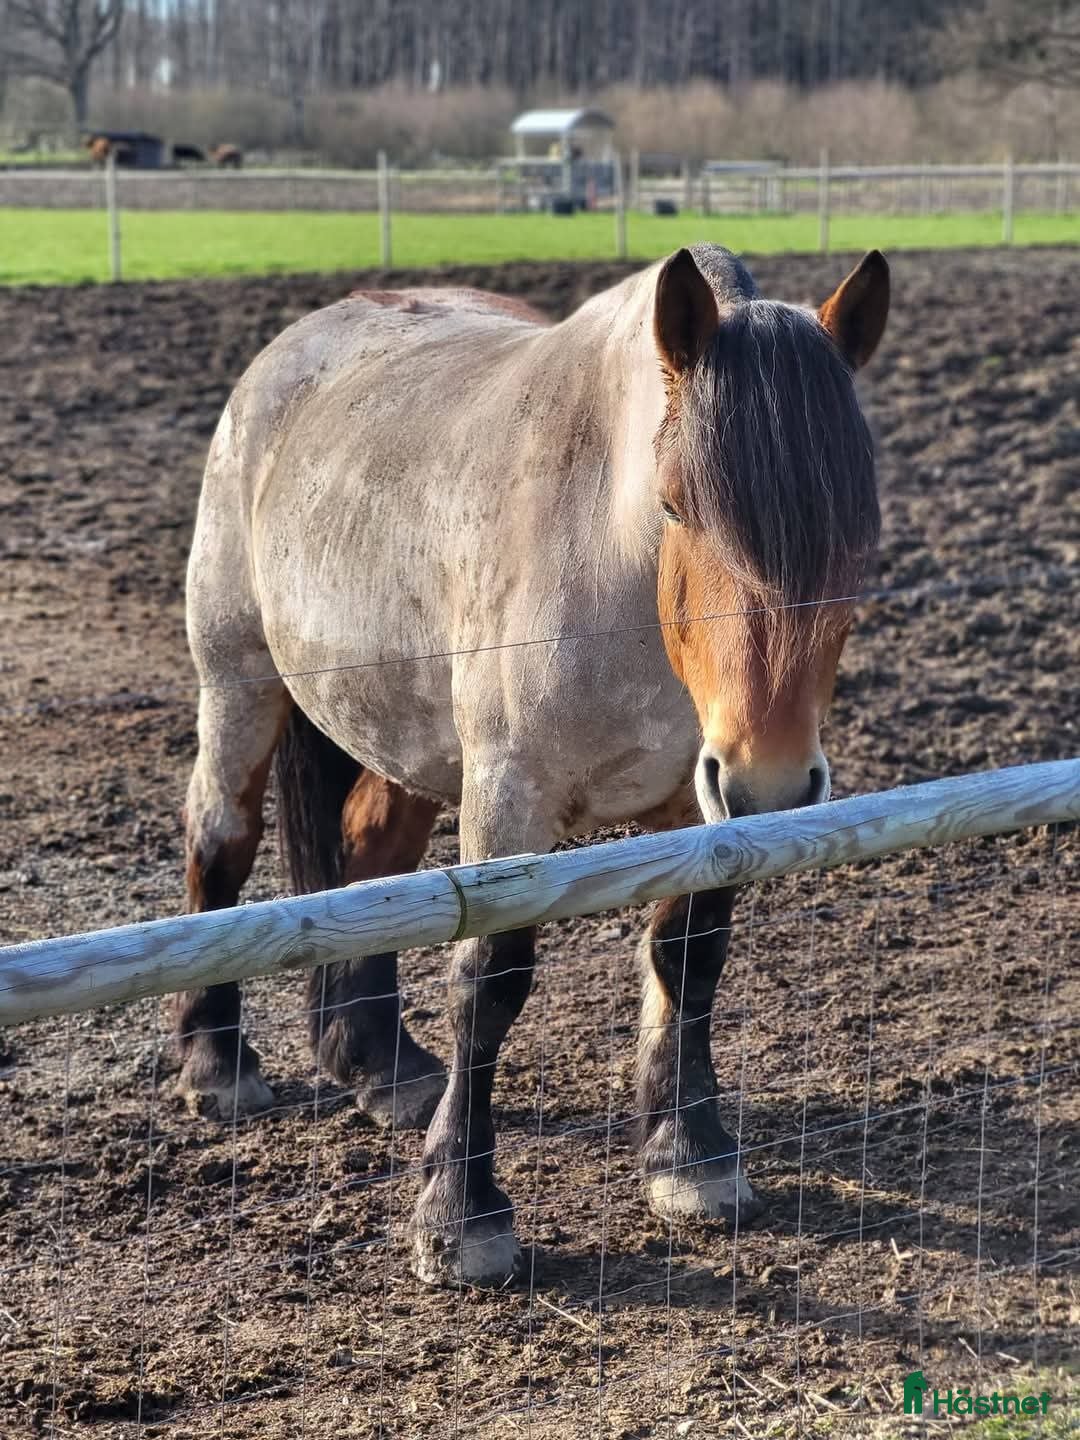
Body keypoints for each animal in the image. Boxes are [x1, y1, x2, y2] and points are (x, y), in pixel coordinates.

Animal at [178, 244, 889, 1286]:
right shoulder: (509, 797)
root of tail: (296, 347)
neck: (615, 568)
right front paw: (461, 1216)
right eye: (676, 506)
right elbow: (491, 980)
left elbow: (688, 955)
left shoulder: (700, 804)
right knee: (220, 841)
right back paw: (215, 1064)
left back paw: (381, 1065)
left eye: (859, 533)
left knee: (371, 860)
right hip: (239, 686)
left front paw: (690, 1157)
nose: (770, 783)